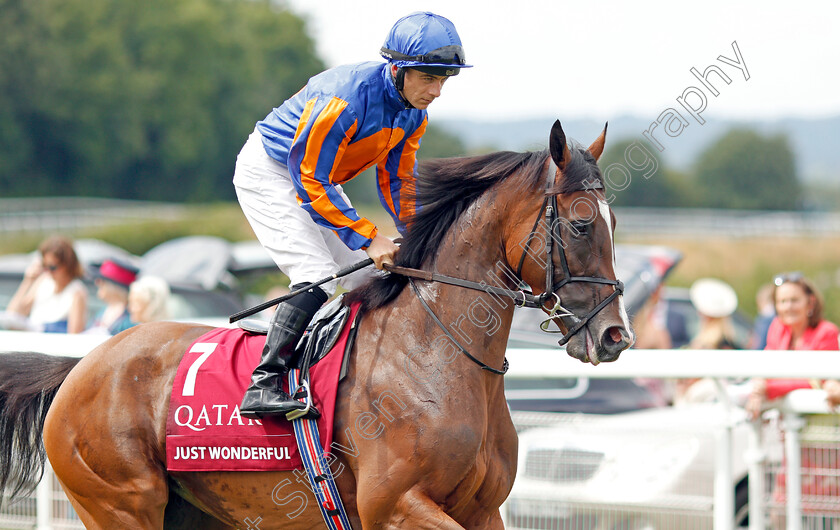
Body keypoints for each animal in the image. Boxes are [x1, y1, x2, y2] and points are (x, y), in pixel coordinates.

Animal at [0, 121, 632, 524]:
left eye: (614, 222)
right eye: (581, 224)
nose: (615, 335)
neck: (434, 358)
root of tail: (83, 364)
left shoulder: (482, 511)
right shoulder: (396, 508)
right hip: (119, 503)